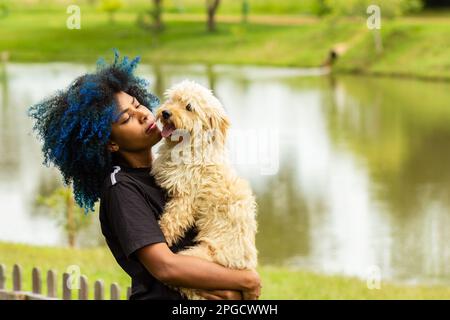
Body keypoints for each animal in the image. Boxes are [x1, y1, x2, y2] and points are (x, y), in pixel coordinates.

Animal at [150, 80, 256, 300]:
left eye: (189, 107)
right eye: (173, 99)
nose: (166, 112)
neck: (189, 147)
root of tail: (245, 264)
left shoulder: (185, 197)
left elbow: (171, 221)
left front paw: (163, 234)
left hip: (200, 258)